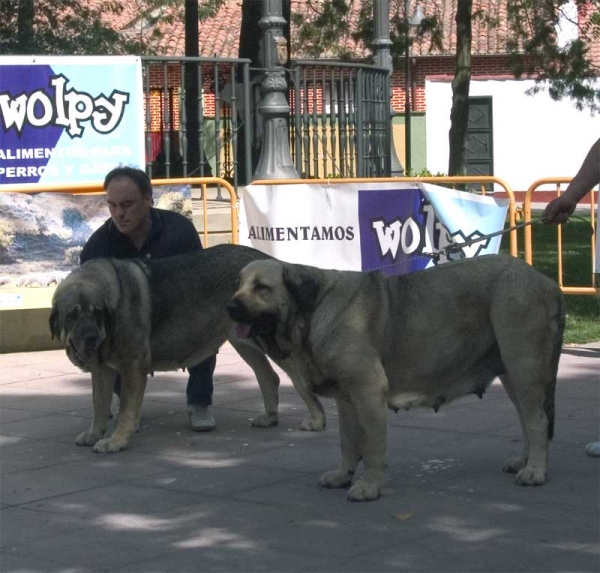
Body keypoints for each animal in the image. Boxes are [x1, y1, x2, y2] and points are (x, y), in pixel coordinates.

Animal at [227, 255, 564, 500]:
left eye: (262, 287)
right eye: (238, 284)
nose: (229, 305)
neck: (311, 312)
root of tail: (546, 281)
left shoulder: (368, 392)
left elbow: (373, 447)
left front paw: (369, 486)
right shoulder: (346, 399)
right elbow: (348, 442)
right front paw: (342, 475)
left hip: (523, 365)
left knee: (537, 420)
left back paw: (535, 471)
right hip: (513, 374)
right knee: (526, 418)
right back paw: (525, 461)